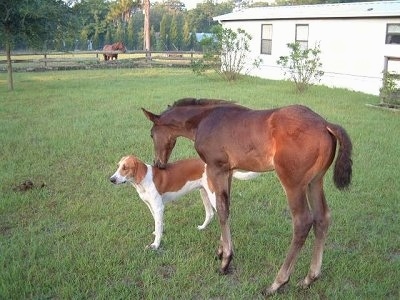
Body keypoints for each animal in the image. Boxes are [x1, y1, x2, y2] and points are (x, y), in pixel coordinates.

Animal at [110, 155, 260, 248]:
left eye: (125, 167)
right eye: (118, 166)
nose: (111, 179)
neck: (142, 180)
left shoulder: (159, 207)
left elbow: (158, 227)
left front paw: (156, 245)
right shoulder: (151, 206)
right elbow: (158, 224)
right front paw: (158, 232)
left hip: (214, 196)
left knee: (224, 216)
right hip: (204, 192)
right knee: (210, 213)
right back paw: (202, 227)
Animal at [141, 98, 354, 296]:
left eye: (151, 134)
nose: (158, 163)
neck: (204, 119)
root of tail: (325, 124)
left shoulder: (216, 168)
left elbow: (221, 210)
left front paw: (226, 261)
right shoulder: (227, 171)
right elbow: (224, 206)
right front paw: (221, 252)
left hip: (293, 183)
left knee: (302, 222)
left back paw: (277, 284)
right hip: (315, 181)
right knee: (322, 218)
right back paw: (309, 279)